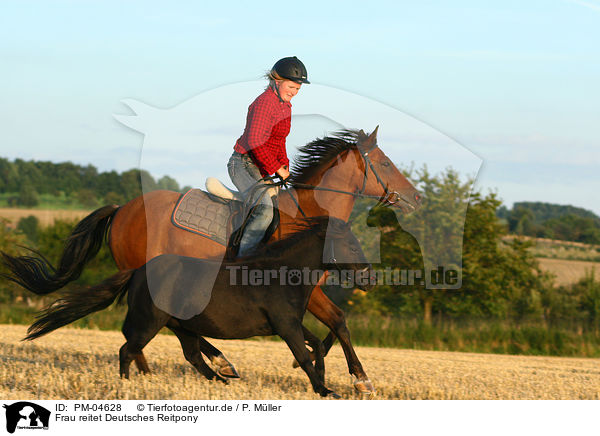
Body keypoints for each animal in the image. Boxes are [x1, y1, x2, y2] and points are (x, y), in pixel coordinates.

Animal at [25, 216, 372, 396]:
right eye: (351, 245)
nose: (368, 278)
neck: (283, 273)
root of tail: (138, 271)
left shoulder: (291, 322)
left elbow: (315, 346)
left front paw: (324, 381)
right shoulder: (285, 325)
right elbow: (302, 353)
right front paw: (326, 390)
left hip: (182, 326)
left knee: (190, 355)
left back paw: (222, 378)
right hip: (150, 322)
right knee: (128, 349)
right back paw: (128, 385)